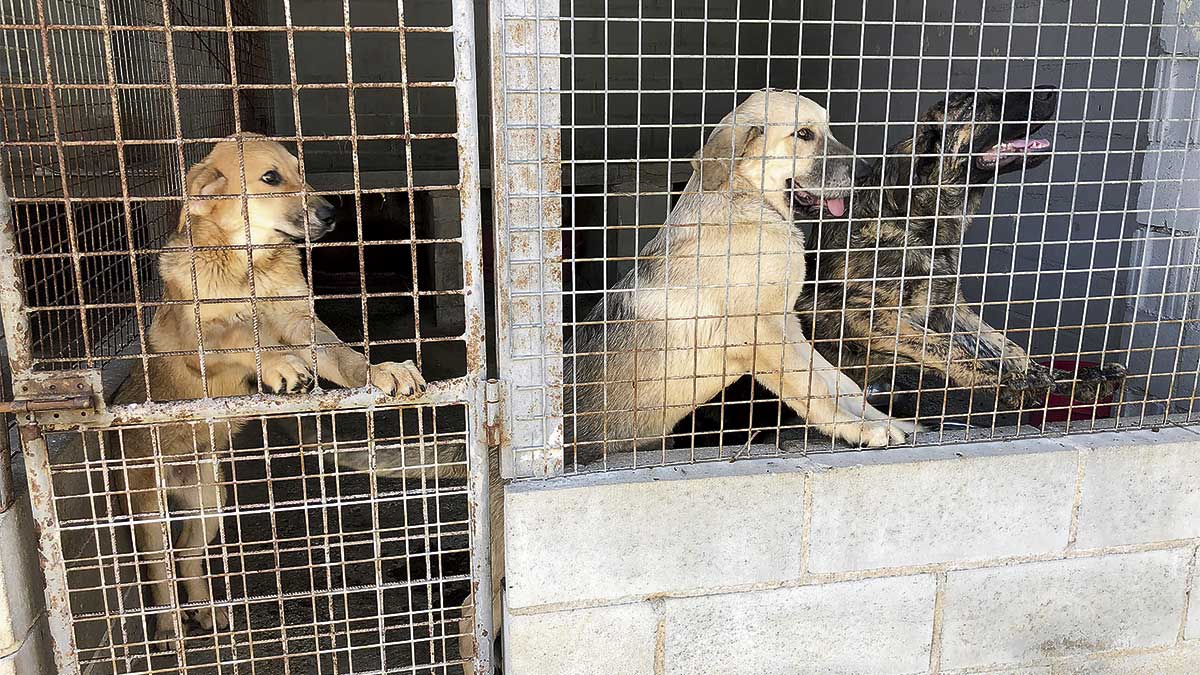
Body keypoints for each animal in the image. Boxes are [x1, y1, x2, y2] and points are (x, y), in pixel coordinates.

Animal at [109, 132, 427, 638]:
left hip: (210, 502)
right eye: (271, 178)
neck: (250, 264)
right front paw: (278, 362)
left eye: (301, 171)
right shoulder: (197, 344)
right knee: (158, 565)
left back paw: (205, 610)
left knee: (187, 554)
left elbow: (344, 355)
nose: (333, 213)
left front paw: (384, 369)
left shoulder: (302, 323)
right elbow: (240, 329)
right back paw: (168, 628)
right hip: (148, 507)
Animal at [796, 85, 1123, 408]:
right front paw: (1006, 381)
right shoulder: (855, 313)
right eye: (978, 104)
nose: (1050, 90)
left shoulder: (950, 311)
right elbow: (943, 345)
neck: (921, 227)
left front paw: (1061, 376)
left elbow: (1006, 346)